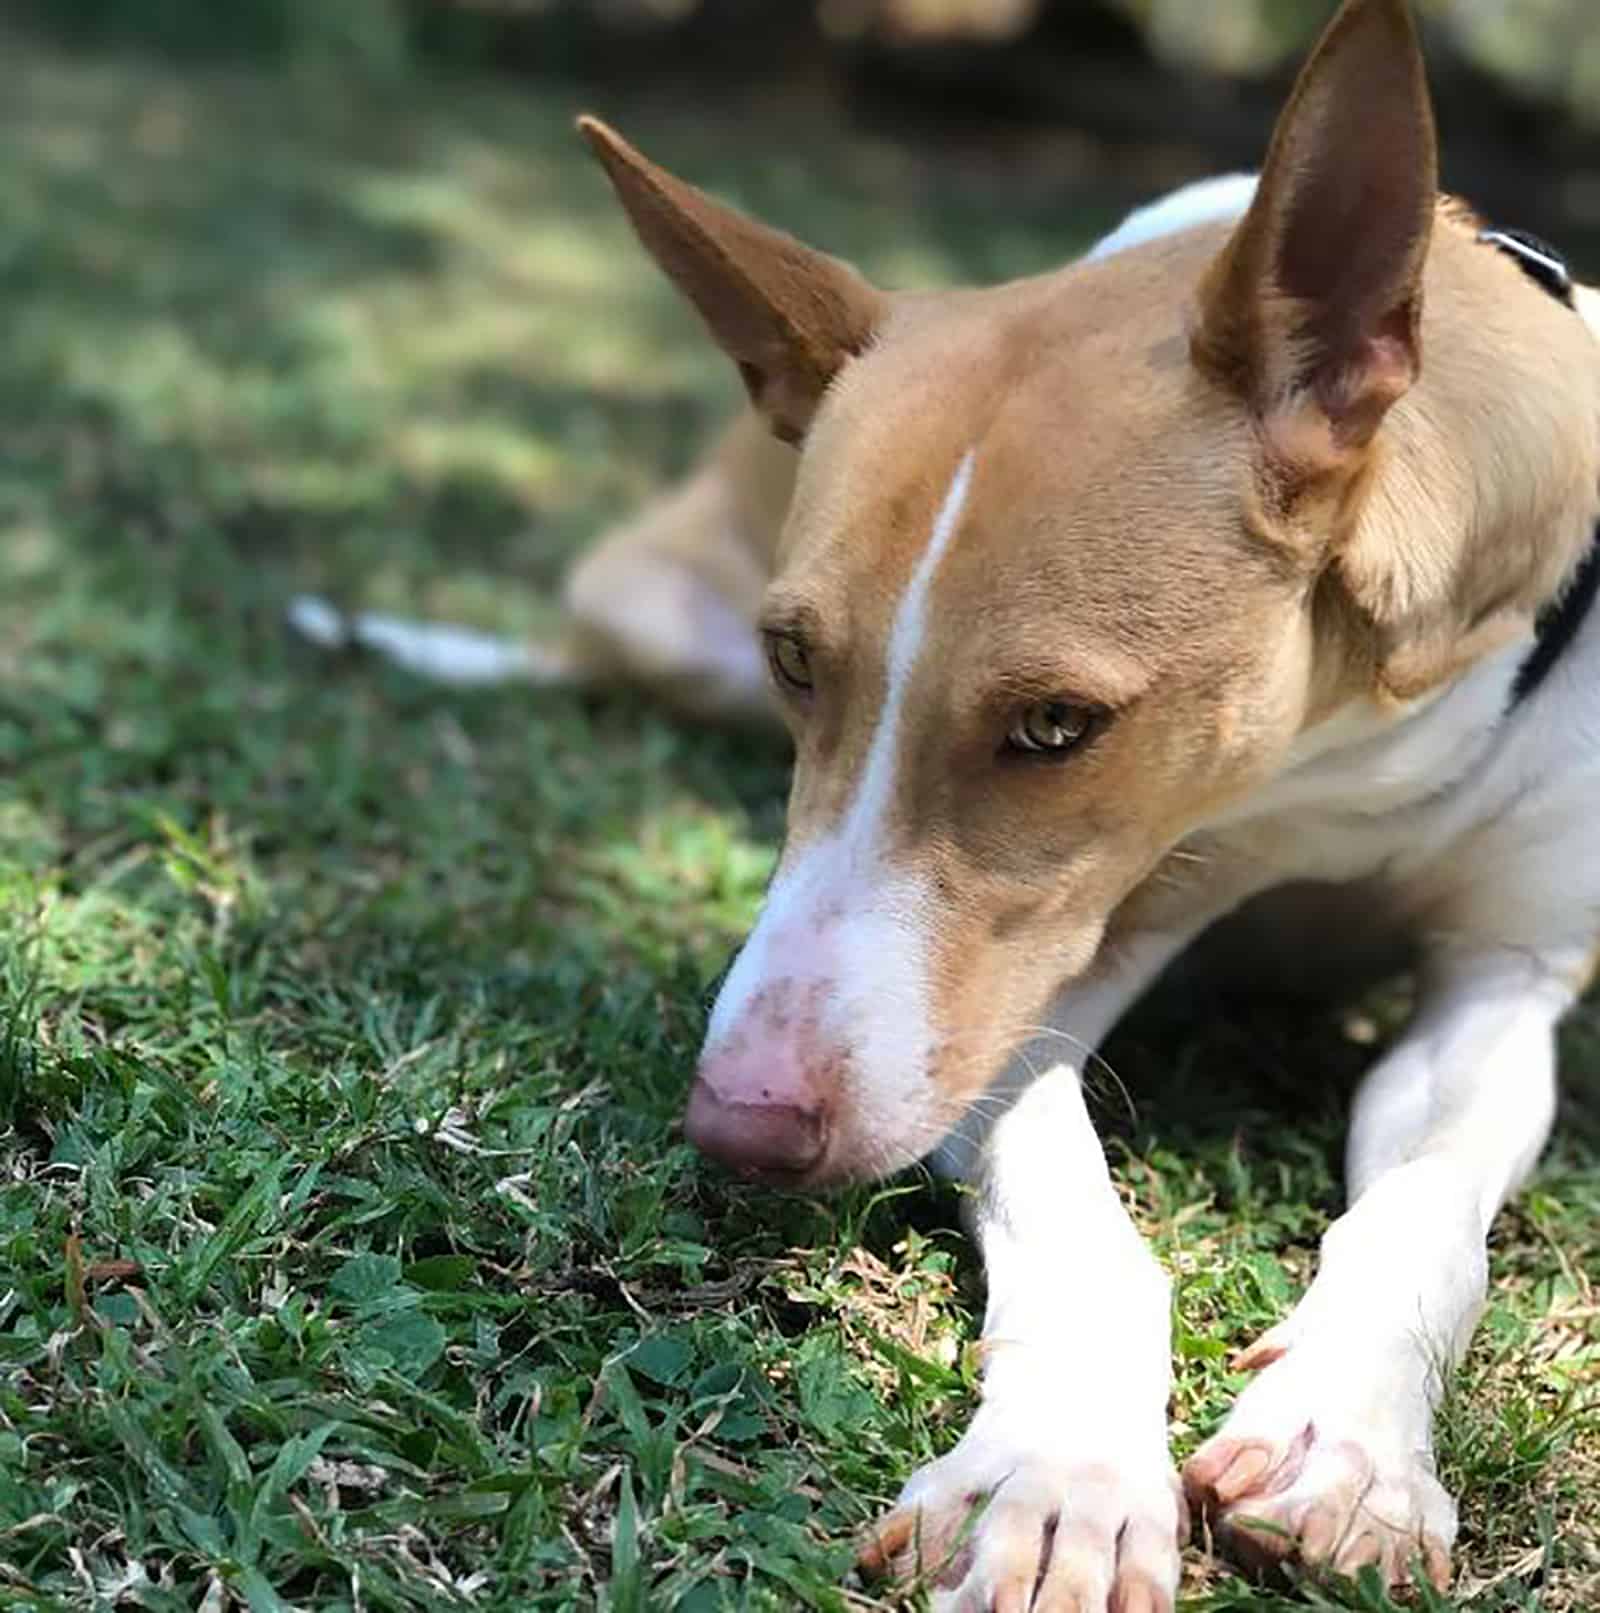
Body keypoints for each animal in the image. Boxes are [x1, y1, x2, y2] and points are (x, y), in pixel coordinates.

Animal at [290, 6, 1600, 1606]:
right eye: (798, 658)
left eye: (1057, 724)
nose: (738, 1127)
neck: (1335, 770)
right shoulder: (1030, 985)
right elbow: (1079, 1221)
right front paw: (1059, 1478)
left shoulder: (1504, 984)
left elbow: (1429, 1204)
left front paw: (1345, 1440)